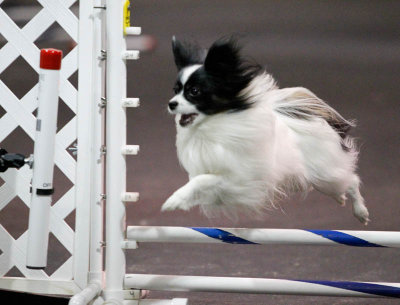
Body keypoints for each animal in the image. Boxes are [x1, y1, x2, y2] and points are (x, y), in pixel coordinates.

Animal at [161, 36, 370, 224]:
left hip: (325, 174)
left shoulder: (237, 178)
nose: (171, 104)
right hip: (320, 179)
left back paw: (361, 212)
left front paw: (174, 200)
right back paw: (341, 198)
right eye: (175, 90)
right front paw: (182, 200)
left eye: (194, 91)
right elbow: (199, 183)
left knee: (352, 181)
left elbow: (203, 180)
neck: (211, 128)